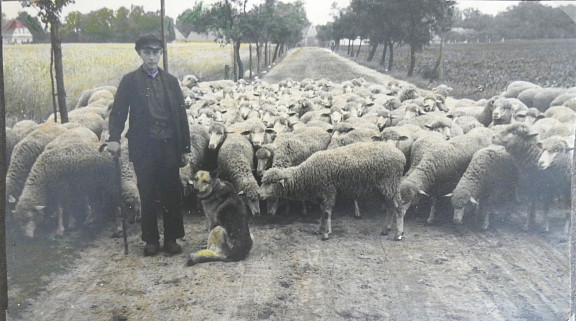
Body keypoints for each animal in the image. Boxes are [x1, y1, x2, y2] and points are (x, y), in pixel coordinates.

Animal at [258, 141, 404, 239]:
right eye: (263, 182)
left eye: (272, 182)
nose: (259, 194)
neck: (307, 173)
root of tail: (400, 155)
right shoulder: (321, 194)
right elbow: (323, 212)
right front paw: (320, 229)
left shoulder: (328, 191)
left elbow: (327, 213)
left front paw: (326, 233)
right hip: (386, 188)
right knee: (391, 207)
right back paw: (386, 229)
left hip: (390, 183)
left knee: (399, 207)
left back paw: (399, 233)